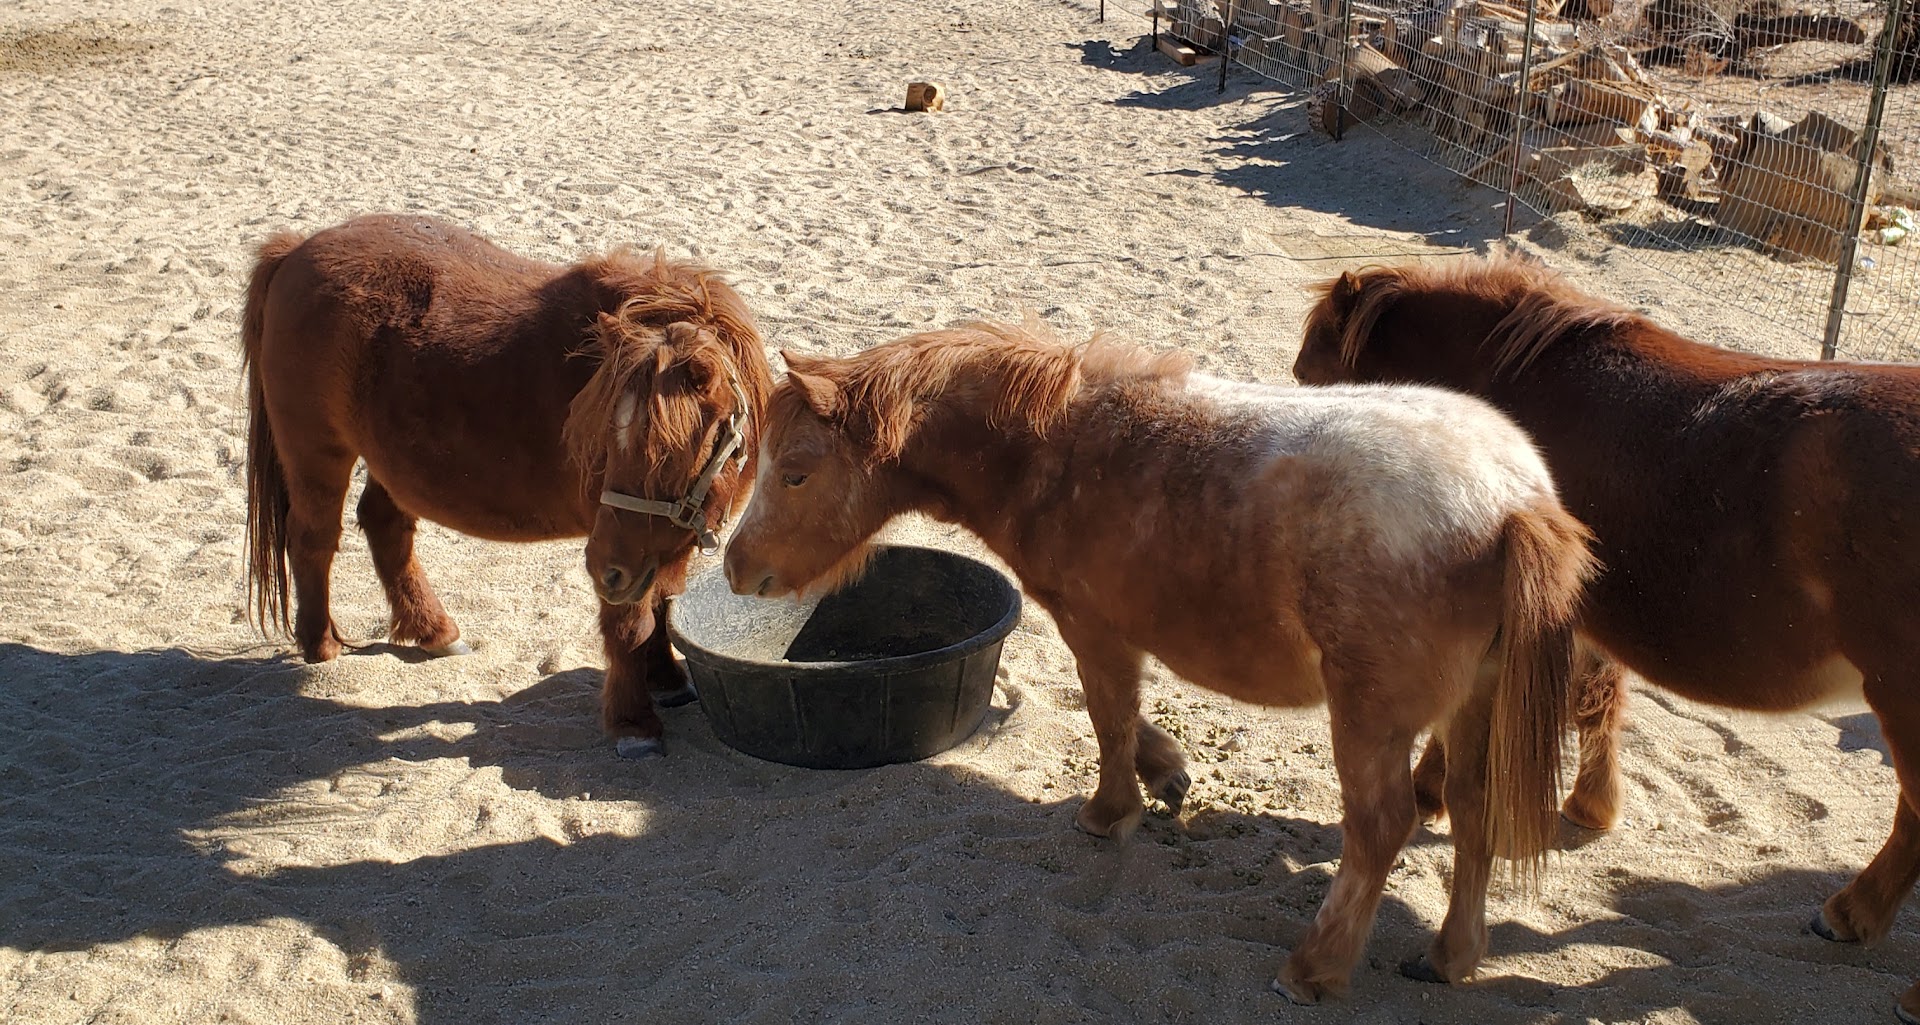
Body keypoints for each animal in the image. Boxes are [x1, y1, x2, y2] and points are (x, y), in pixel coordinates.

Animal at [241, 213, 771, 760]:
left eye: (667, 453)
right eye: (604, 441)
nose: (605, 569)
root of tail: (296, 249)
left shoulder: (659, 542)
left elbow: (663, 603)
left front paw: (666, 680)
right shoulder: (620, 544)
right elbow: (630, 624)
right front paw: (633, 722)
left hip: (392, 462)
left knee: (385, 527)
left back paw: (433, 631)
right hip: (316, 453)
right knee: (313, 538)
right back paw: (320, 643)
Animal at [721, 328, 1589, 1005]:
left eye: (794, 470)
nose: (734, 566)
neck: (1052, 446)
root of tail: (1513, 500)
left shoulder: (1093, 629)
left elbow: (1108, 719)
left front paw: (1110, 812)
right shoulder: (1113, 634)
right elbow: (1130, 719)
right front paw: (1167, 772)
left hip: (1371, 719)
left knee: (1379, 827)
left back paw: (1314, 967)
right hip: (1474, 708)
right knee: (1474, 810)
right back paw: (1450, 955)